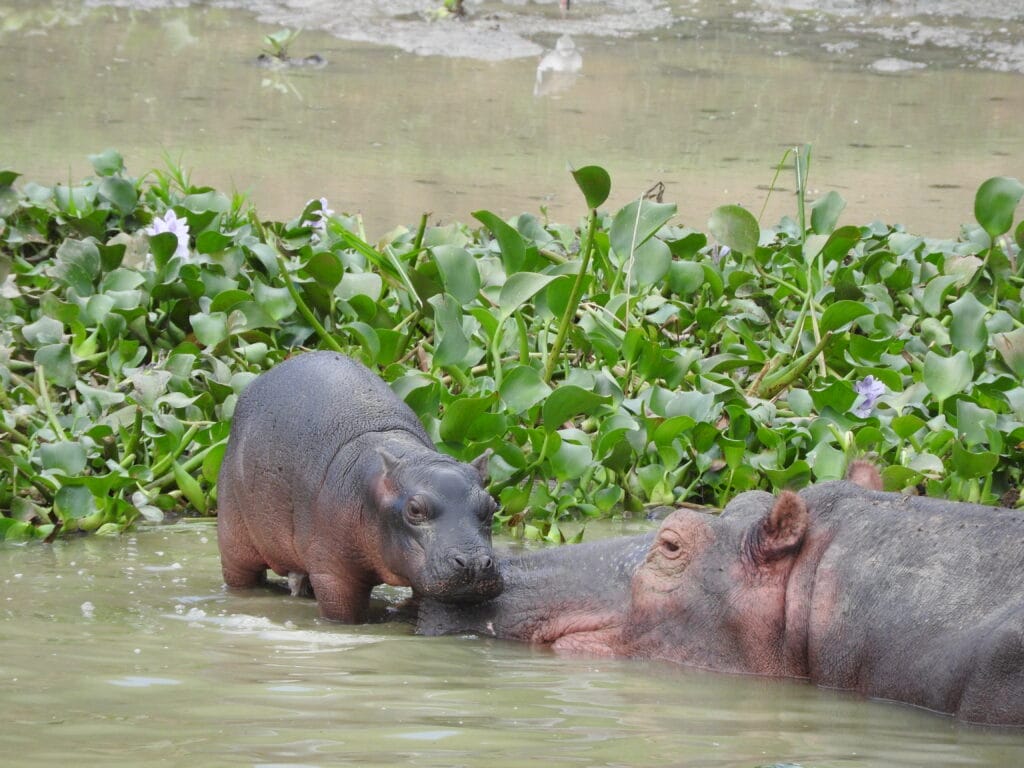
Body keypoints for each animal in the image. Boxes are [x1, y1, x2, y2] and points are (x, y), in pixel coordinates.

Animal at [217, 351, 502, 622]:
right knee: (241, 575)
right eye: (415, 510)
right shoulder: (333, 574)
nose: (474, 563)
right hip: (234, 544)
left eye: (492, 506)